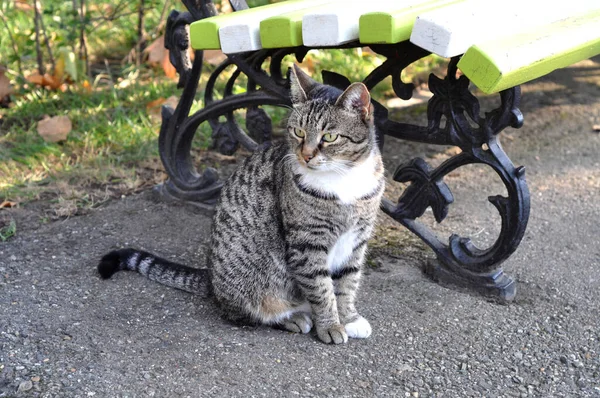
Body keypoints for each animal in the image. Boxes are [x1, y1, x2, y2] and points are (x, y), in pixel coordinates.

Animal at [95, 65, 382, 346]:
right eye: (298, 132)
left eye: (330, 136)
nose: (306, 155)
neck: (344, 179)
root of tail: (211, 278)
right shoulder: (307, 243)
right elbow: (322, 289)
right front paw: (330, 325)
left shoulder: (357, 240)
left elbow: (347, 283)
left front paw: (349, 318)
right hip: (251, 283)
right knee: (245, 313)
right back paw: (292, 317)